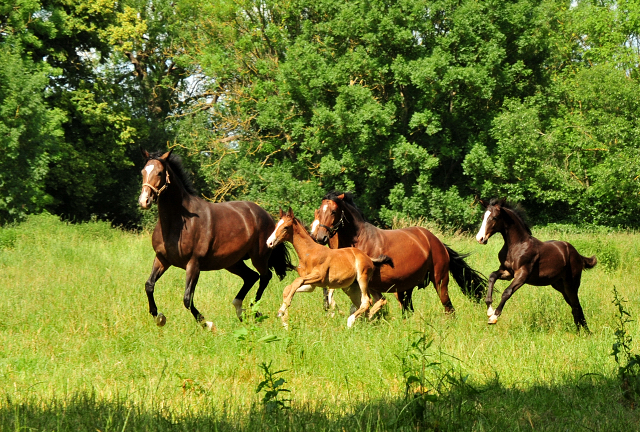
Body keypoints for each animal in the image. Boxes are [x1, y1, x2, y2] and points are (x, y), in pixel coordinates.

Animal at [140, 150, 292, 330]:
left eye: (159, 173)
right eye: (142, 172)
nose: (144, 201)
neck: (177, 223)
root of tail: (267, 216)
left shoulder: (193, 264)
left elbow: (187, 298)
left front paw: (208, 324)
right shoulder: (162, 259)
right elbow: (149, 286)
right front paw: (159, 317)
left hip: (259, 257)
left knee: (265, 276)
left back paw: (254, 311)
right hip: (232, 262)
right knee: (251, 277)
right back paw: (240, 310)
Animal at [312, 192, 488, 314]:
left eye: (334, 211)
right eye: (319, 211)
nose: (320, 237)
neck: (358, 241)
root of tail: (437, 242)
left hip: (440, 281)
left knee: (448, 308)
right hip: (406, 288)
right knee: (408, 310)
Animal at [472, 199, 596, 330]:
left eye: (494, 217)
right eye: (483, 217)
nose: (480, 238)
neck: (517, 245)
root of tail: (577, 254)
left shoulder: (522, 274)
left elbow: (507, 292)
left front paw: (494, 316)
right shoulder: (507, 272)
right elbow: (492, 276)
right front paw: (489, 310)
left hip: (572, 284)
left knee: (576, 305)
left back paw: (585, 332)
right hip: (560, 286)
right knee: (574, 306)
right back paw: (581, 331)